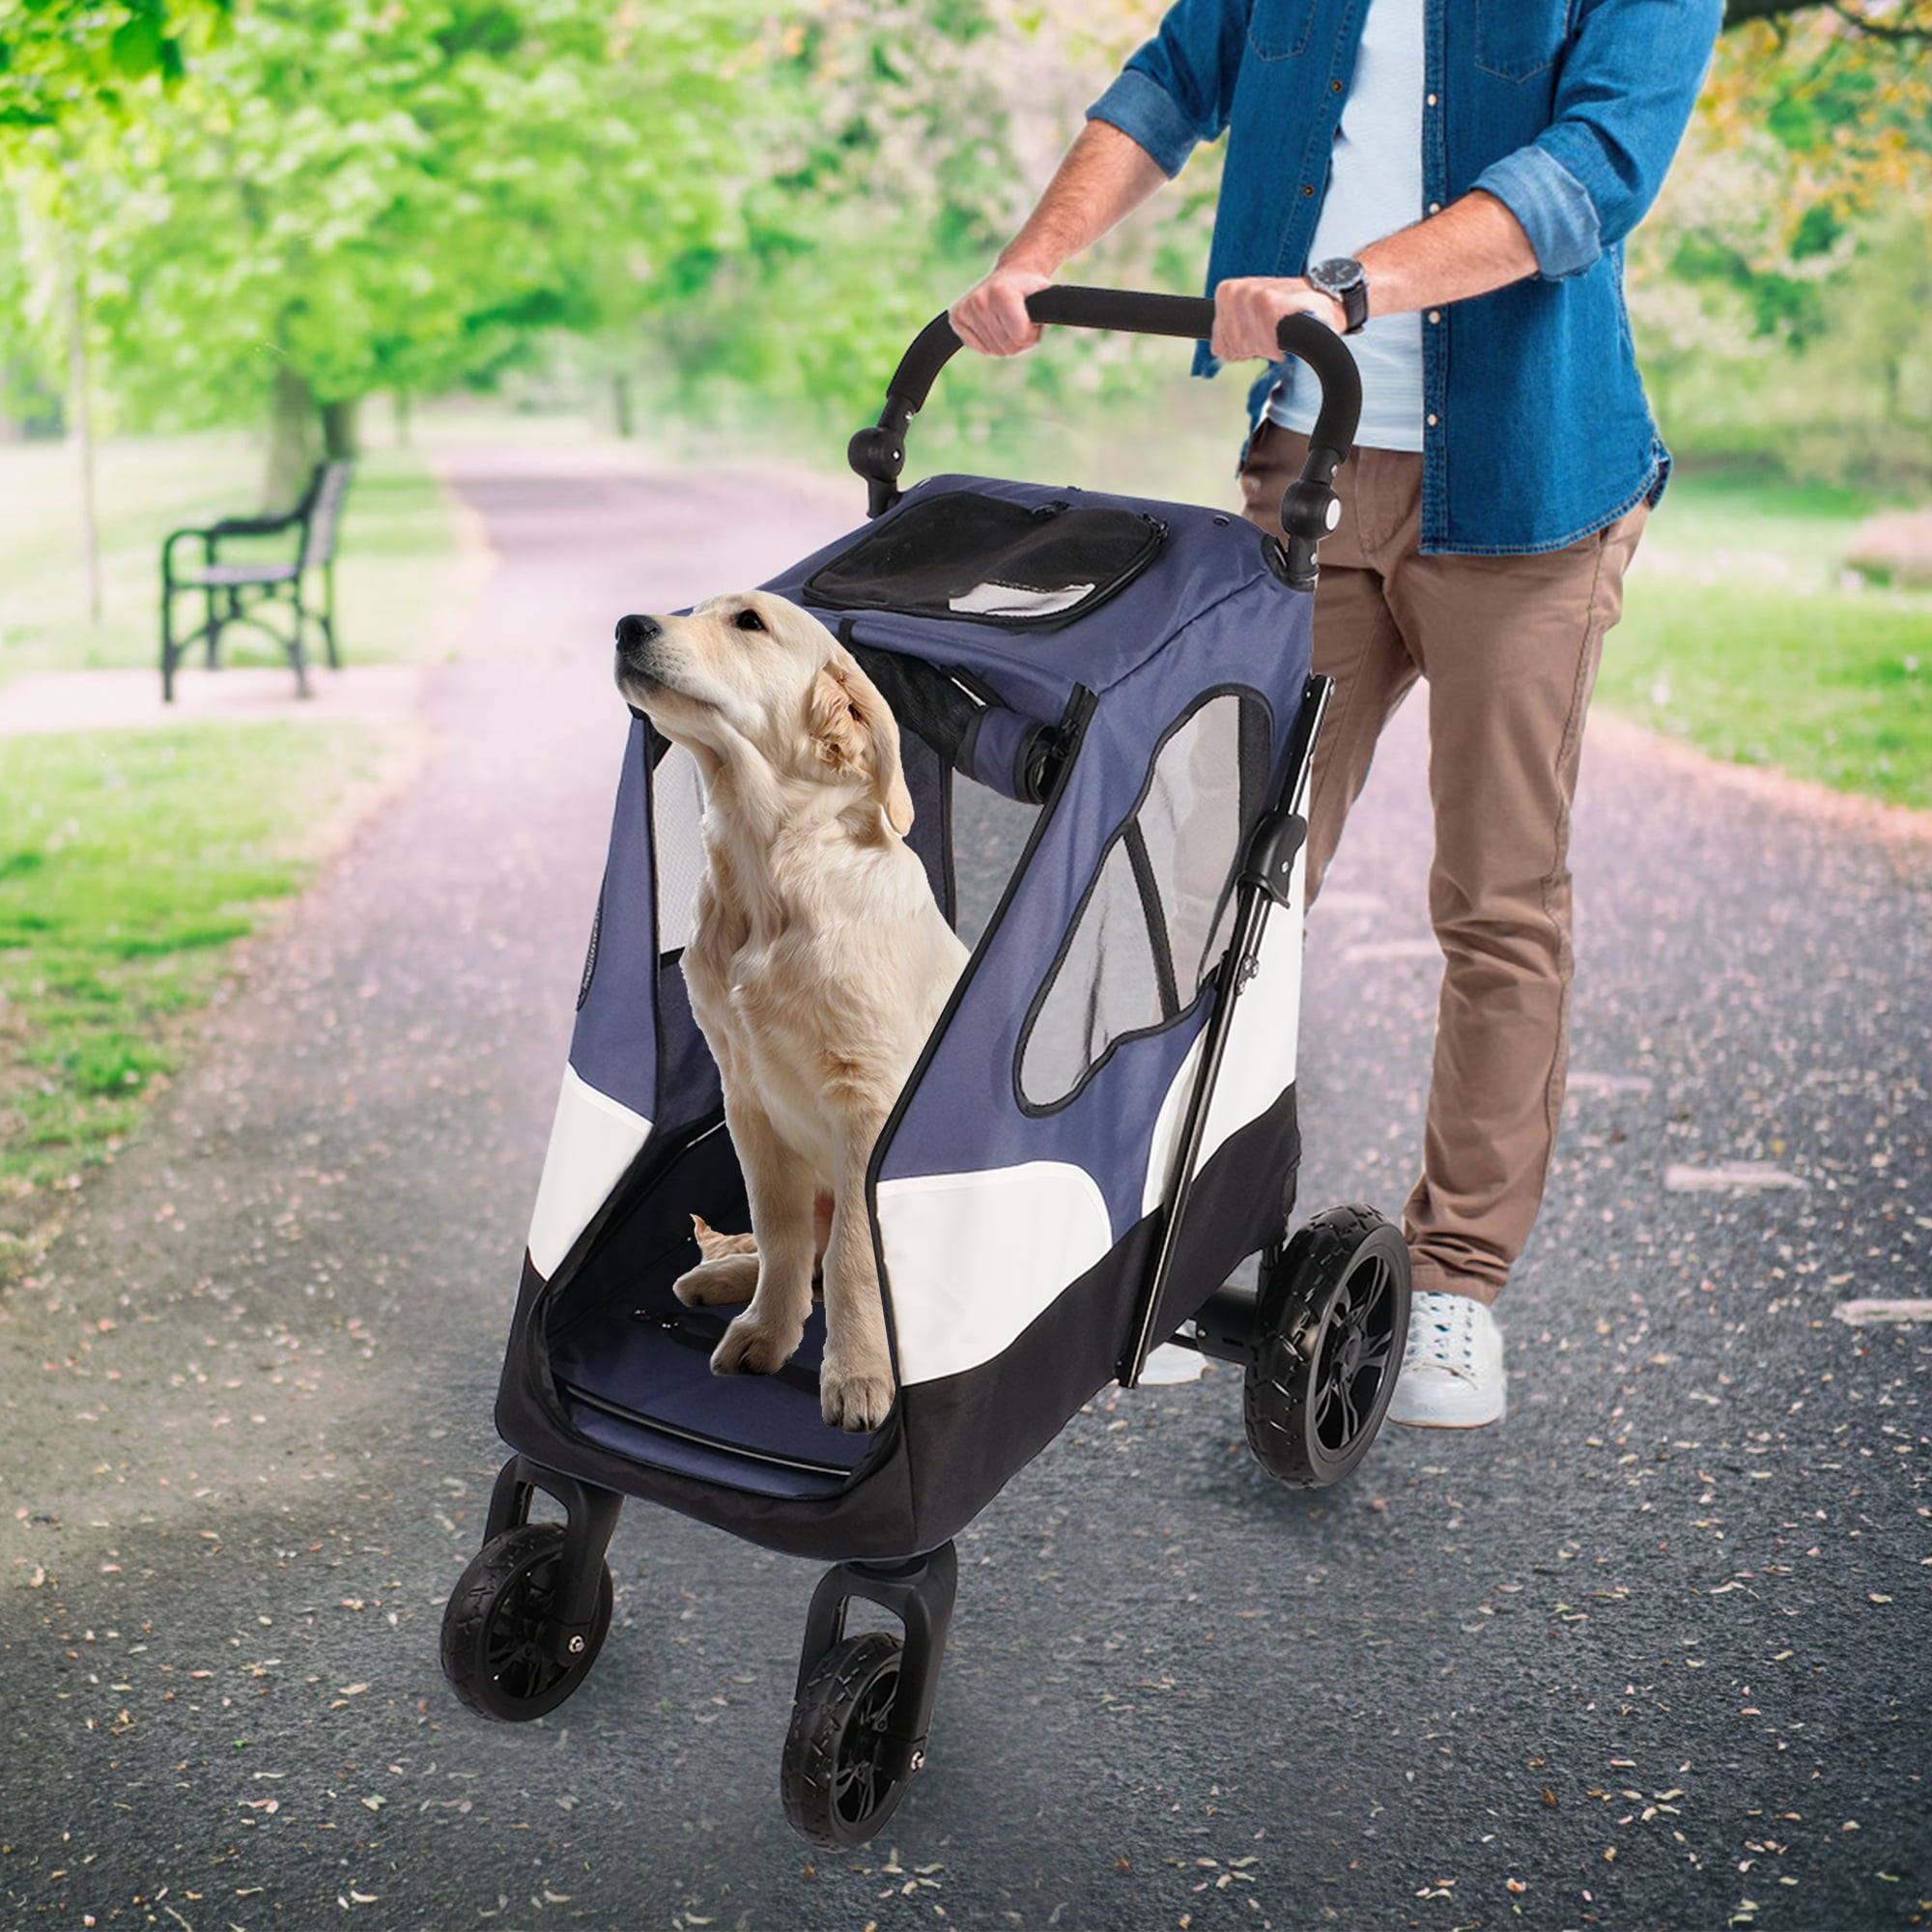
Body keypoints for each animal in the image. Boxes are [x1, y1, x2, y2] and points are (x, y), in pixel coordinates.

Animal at [614, 595, 966, 1430]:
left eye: (748, 622)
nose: (627, 626)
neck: (770, 878)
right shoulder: (748, 1098)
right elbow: (780, 1235)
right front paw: (766, 1333)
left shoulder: (868, 1110)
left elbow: (854, 1257)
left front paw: (858, 1374)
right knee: (796, 1249)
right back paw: (720, 1279)